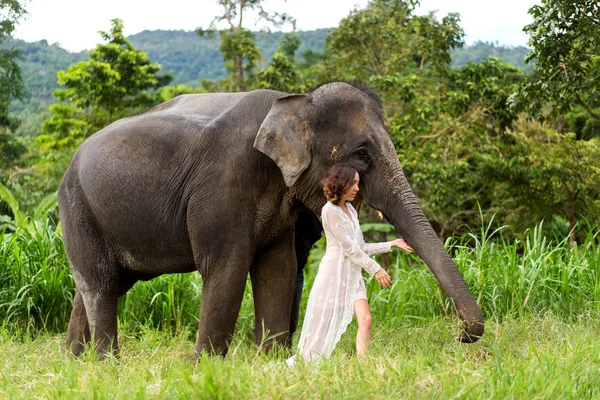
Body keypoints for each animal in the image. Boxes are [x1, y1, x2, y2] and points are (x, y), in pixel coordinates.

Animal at [61, 81, 482, 356]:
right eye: (362, 154)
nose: (461, 336)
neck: (294, 100)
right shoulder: (221, 186)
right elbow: (226, 267)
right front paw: (206, 368)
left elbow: (278, 267)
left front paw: (272, 361)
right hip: (78, 209)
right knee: (100, 285)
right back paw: (106, 363)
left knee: (103, 285)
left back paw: (75, 361)